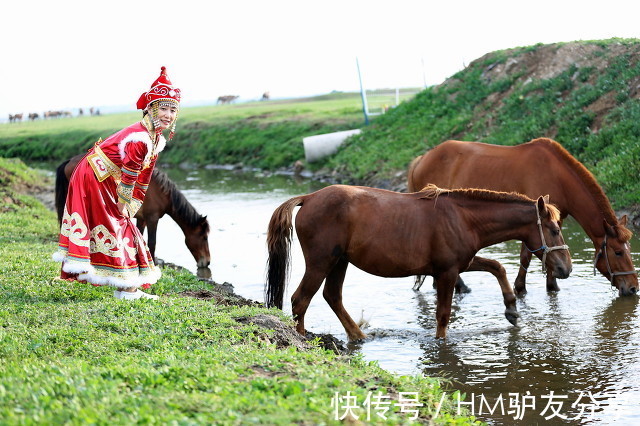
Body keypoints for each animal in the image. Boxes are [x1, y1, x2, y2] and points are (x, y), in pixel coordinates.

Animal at [55, 153, 210, 268]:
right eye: (204, 237)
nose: (207, 262)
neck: (162, 193)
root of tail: (70, 160)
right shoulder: (152, 219)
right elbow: (152, 241)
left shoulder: (141, 219)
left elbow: (139, 238)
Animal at [262, 183, 572, 340]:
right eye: (554, 229)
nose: (565, 268)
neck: (463, 218)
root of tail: (309, 197)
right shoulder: (447, 272)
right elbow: (443, 316)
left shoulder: (458, 264)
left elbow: (497, 267)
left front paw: (511, 309)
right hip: (321, 262)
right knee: (301, 299)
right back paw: (303, 340)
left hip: (339, 262)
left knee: (332, 297)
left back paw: (358, 336)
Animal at [408, 138, 636, 298]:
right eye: (617, 252)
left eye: (628, 250)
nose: (633, 287)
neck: (557, 176)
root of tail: (421, 159)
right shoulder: (533, 217)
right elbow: (527, 255)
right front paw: (520, 288)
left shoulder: (552, 219)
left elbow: (552, 251)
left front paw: (552, 286)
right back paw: (460, 286)